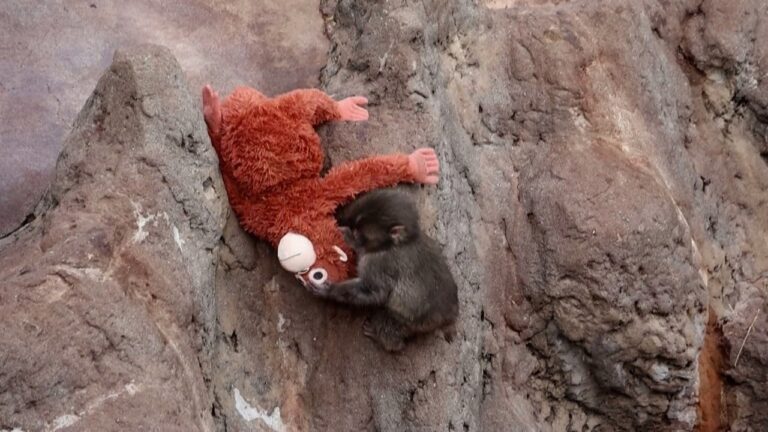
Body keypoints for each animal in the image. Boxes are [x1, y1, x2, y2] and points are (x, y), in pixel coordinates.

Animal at [309, 189, 459, 352]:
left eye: (357, 234)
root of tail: (450, 315)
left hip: (417, 322)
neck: (393, 244)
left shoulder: (378, 264)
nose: (348, 233)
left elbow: (375, 292)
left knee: (391, 319)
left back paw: (386, 340)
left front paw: (330, 290)